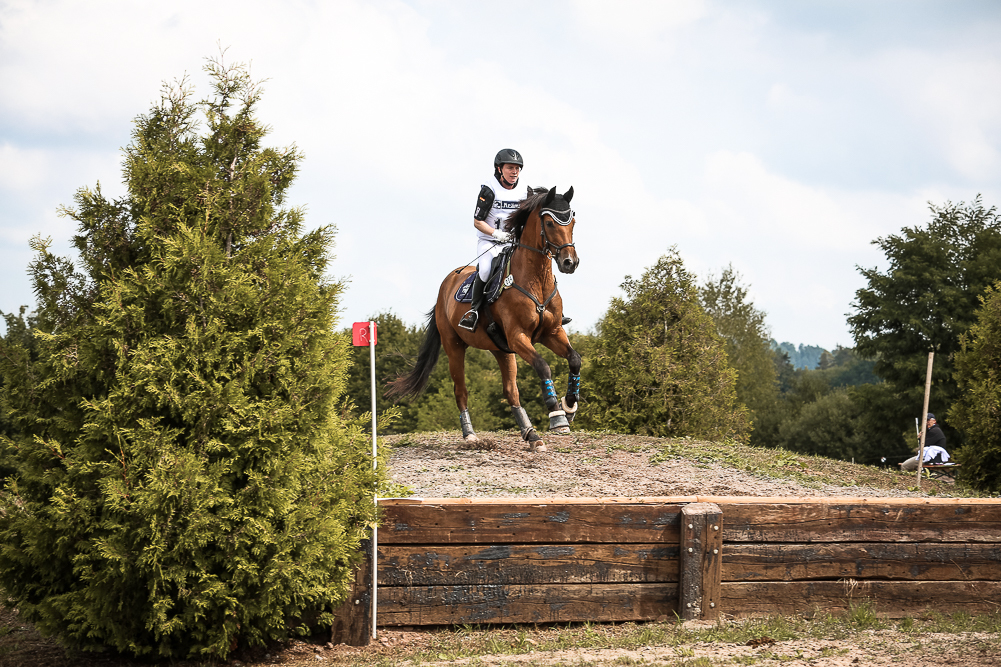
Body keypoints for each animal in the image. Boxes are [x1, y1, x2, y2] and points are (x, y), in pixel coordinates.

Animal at [386, 184, 584, 448]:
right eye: (550, 223)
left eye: (572, 222)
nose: (570, 262)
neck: (536, 282)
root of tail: (446, 284)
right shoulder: (518, 337)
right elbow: (543, 366)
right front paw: (557, 414)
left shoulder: (552, 332)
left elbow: (574, 359)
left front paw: (569, 405)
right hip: (454, 346)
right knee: (461, 390)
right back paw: (470, 434)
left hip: (501, 349)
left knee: (511, 391)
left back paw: (531, 434)